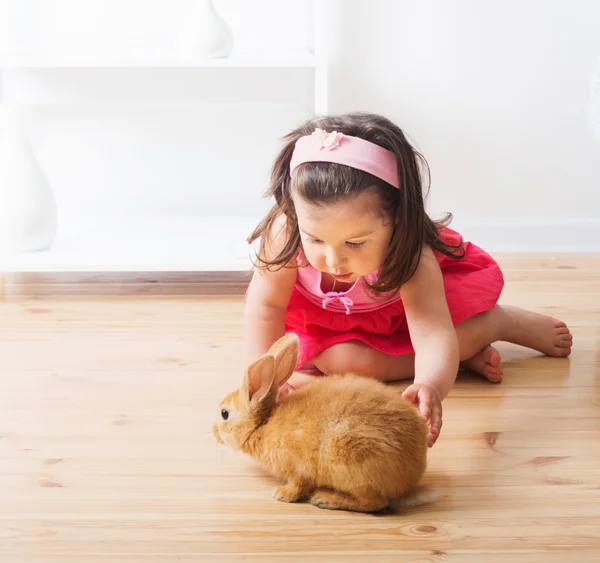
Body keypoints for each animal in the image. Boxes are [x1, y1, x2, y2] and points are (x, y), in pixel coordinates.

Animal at [213, 334, 438, 516]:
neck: (262, 425)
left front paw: (281, 494)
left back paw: (325, 499)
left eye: (224, 414)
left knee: (374, 503)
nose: (214, 432)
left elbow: (298, 485)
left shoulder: (299, 470)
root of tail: (414, 472)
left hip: (352, 460)